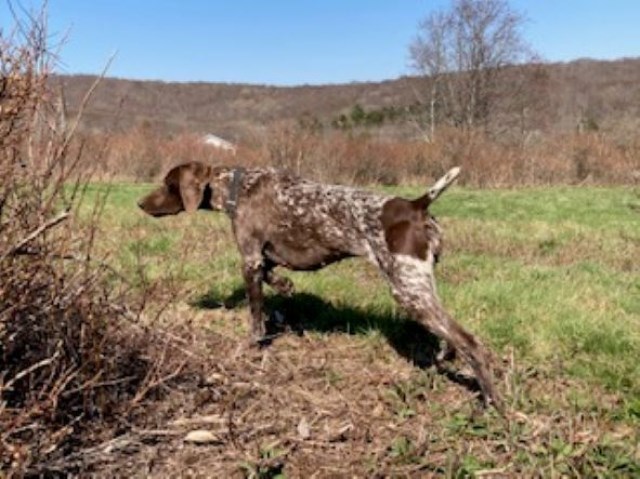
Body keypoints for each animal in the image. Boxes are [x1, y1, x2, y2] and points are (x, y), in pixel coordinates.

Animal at [139, 162, 500, 408]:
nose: (140, 204)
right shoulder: (264, 259)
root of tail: (416, 205)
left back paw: (491, 402)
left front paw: (252, 348)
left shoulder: (250, 260)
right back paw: (446, 356)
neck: (236, 188)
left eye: (168, 184)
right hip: (420, 287)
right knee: (450, 334)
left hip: (407, 289)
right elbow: (274, 278)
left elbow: (256, 317)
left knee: (471, 343)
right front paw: (286, 286)